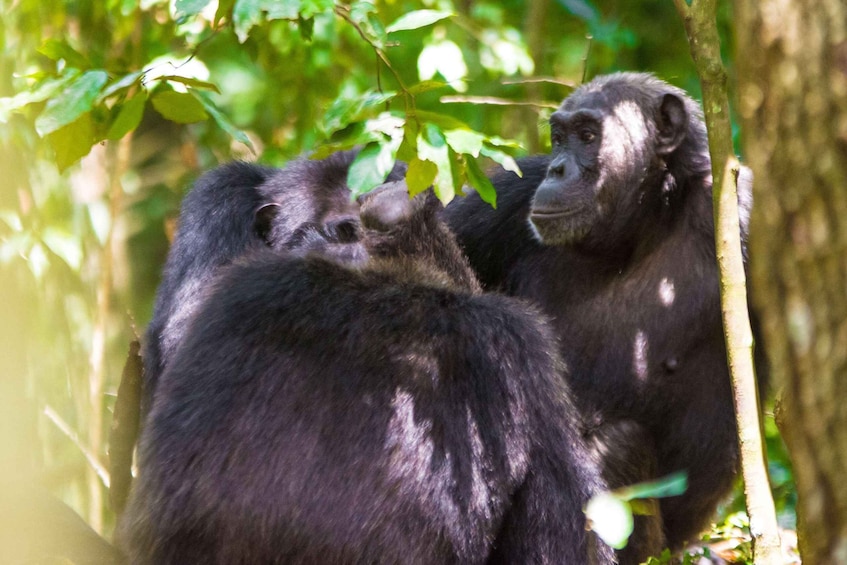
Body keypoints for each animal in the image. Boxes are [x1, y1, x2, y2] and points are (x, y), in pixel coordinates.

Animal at [440, 72, 760, 552]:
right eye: (559, 138)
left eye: (589, 136)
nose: (558, 169)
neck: (641, 224)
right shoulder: (511, 194)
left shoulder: (741, 212)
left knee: (618, 444)